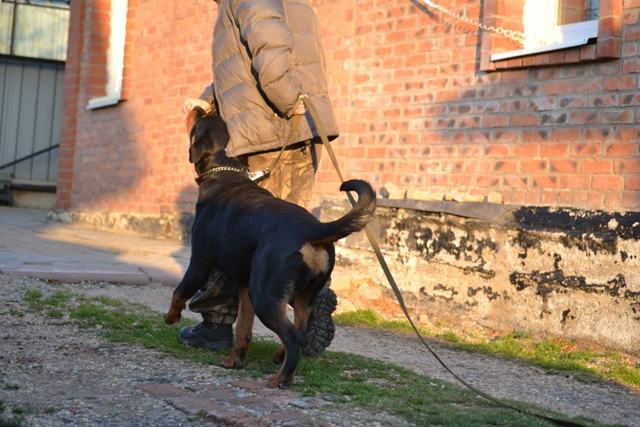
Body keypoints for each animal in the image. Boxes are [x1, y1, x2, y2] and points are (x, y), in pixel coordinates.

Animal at [162, 108, 378, 392]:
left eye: (198, 123)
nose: (201, 108)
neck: (225, 171)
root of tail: (312, 229)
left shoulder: (200, 263)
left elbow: (179, 291)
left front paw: (171, 317)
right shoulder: (244, 284)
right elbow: (243, 328)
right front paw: (234, 361)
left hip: (265, 292)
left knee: (293, 336)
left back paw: (282, 378)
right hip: (293, 293)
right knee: (301, 326)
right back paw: (281, 358)